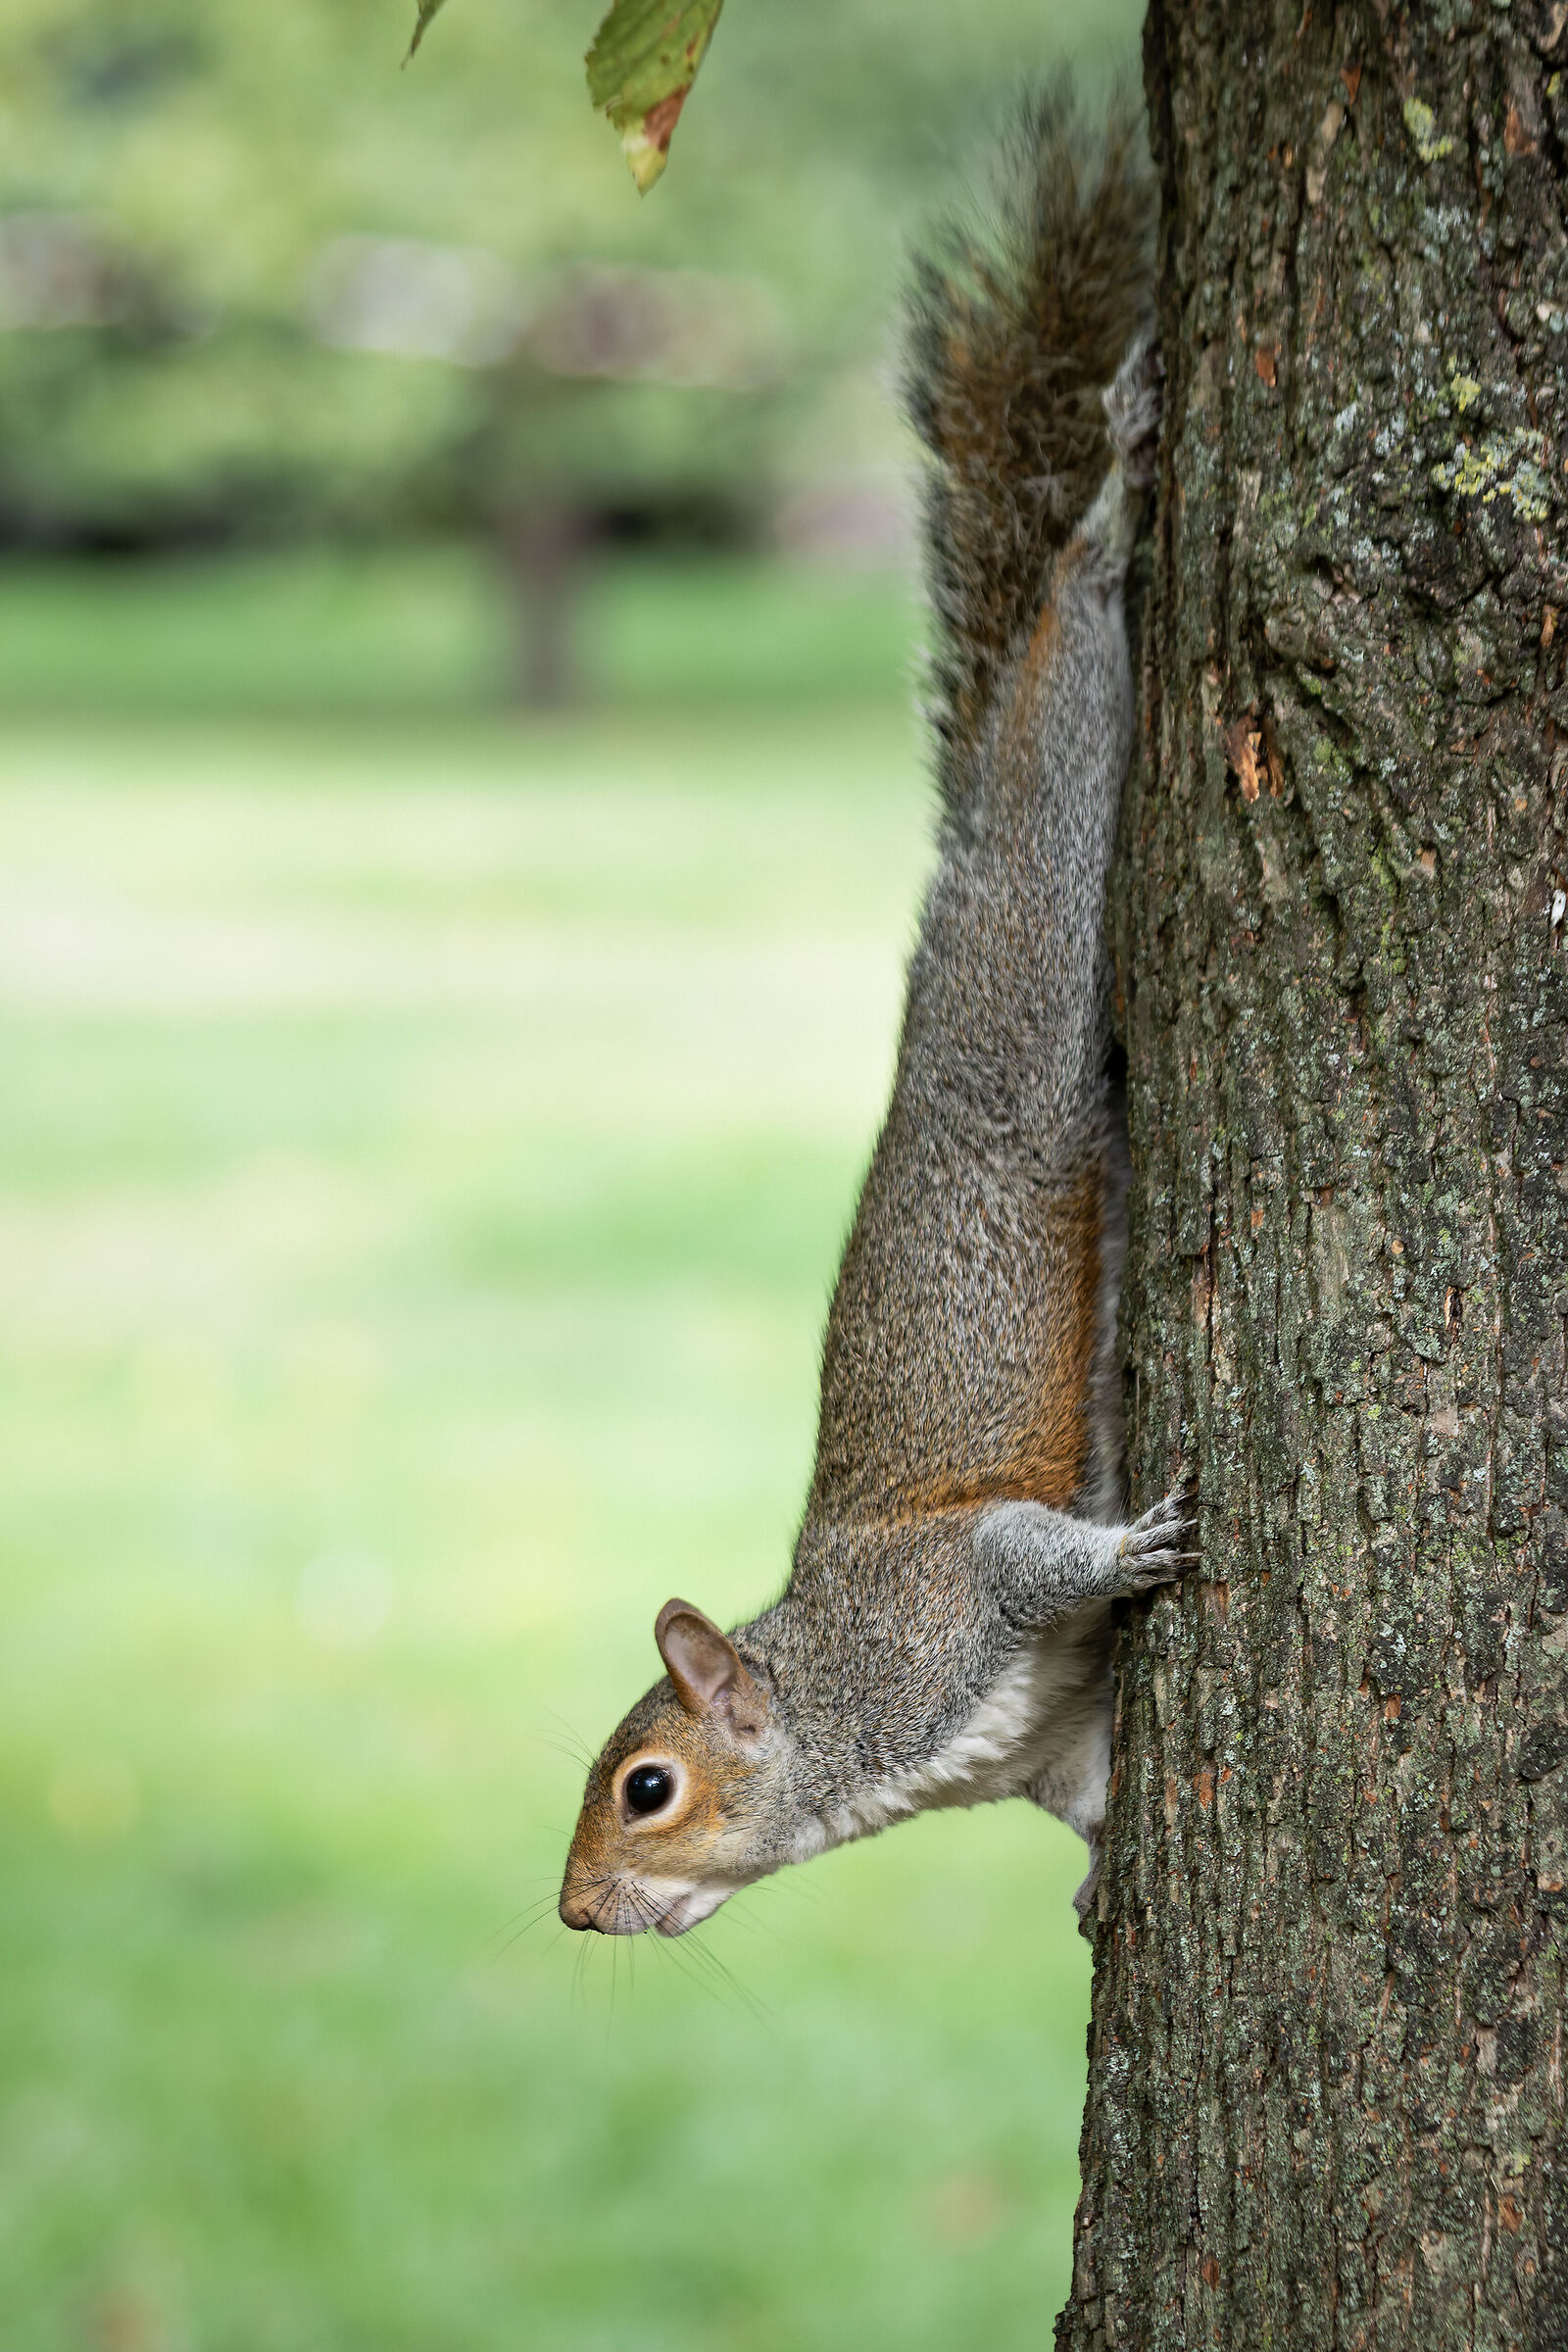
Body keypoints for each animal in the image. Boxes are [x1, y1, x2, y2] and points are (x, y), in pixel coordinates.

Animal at [558, 94, 1196, 1943]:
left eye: (647, 1786)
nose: (573, 1912)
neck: (848, 1725)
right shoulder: (1032, 1743)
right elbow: (1088, 1786)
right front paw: (1103, 1881)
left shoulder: (946, 1604)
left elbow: (1031, 1553)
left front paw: (1136, 1546)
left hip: (1030, 955)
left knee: (1068, 642)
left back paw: (1112, 488)